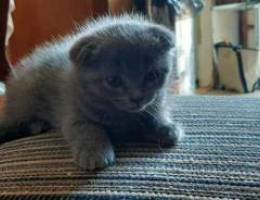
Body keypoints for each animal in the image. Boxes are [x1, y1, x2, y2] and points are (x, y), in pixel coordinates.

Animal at [0, 14, 183, 170]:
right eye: (114, 81)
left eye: (152, 76)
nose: (137, 97)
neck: (121, 116)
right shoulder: (73, 112)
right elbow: (88, 129)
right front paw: (94, 153)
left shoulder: (153, 103)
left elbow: (154, 114)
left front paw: (166, 127)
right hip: (24, 102)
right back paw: (36, 125)